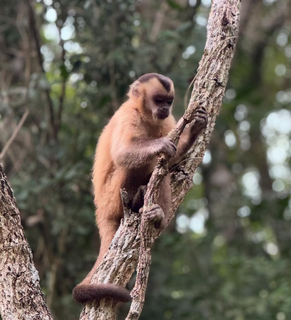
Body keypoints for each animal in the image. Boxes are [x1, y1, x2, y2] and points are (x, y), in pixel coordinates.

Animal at [74, 74, 209, 304]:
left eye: (169, 102)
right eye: (158, 100)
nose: (164, 109)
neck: (145, 115)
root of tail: (100, 210)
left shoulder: (166, 121)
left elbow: (173, 155)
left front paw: (194, 127)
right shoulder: (128, 115)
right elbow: (123, 153)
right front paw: (160, 145)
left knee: (161, 171)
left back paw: (157, 215)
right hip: (112, 198)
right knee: (134, 164)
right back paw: (136, 201)